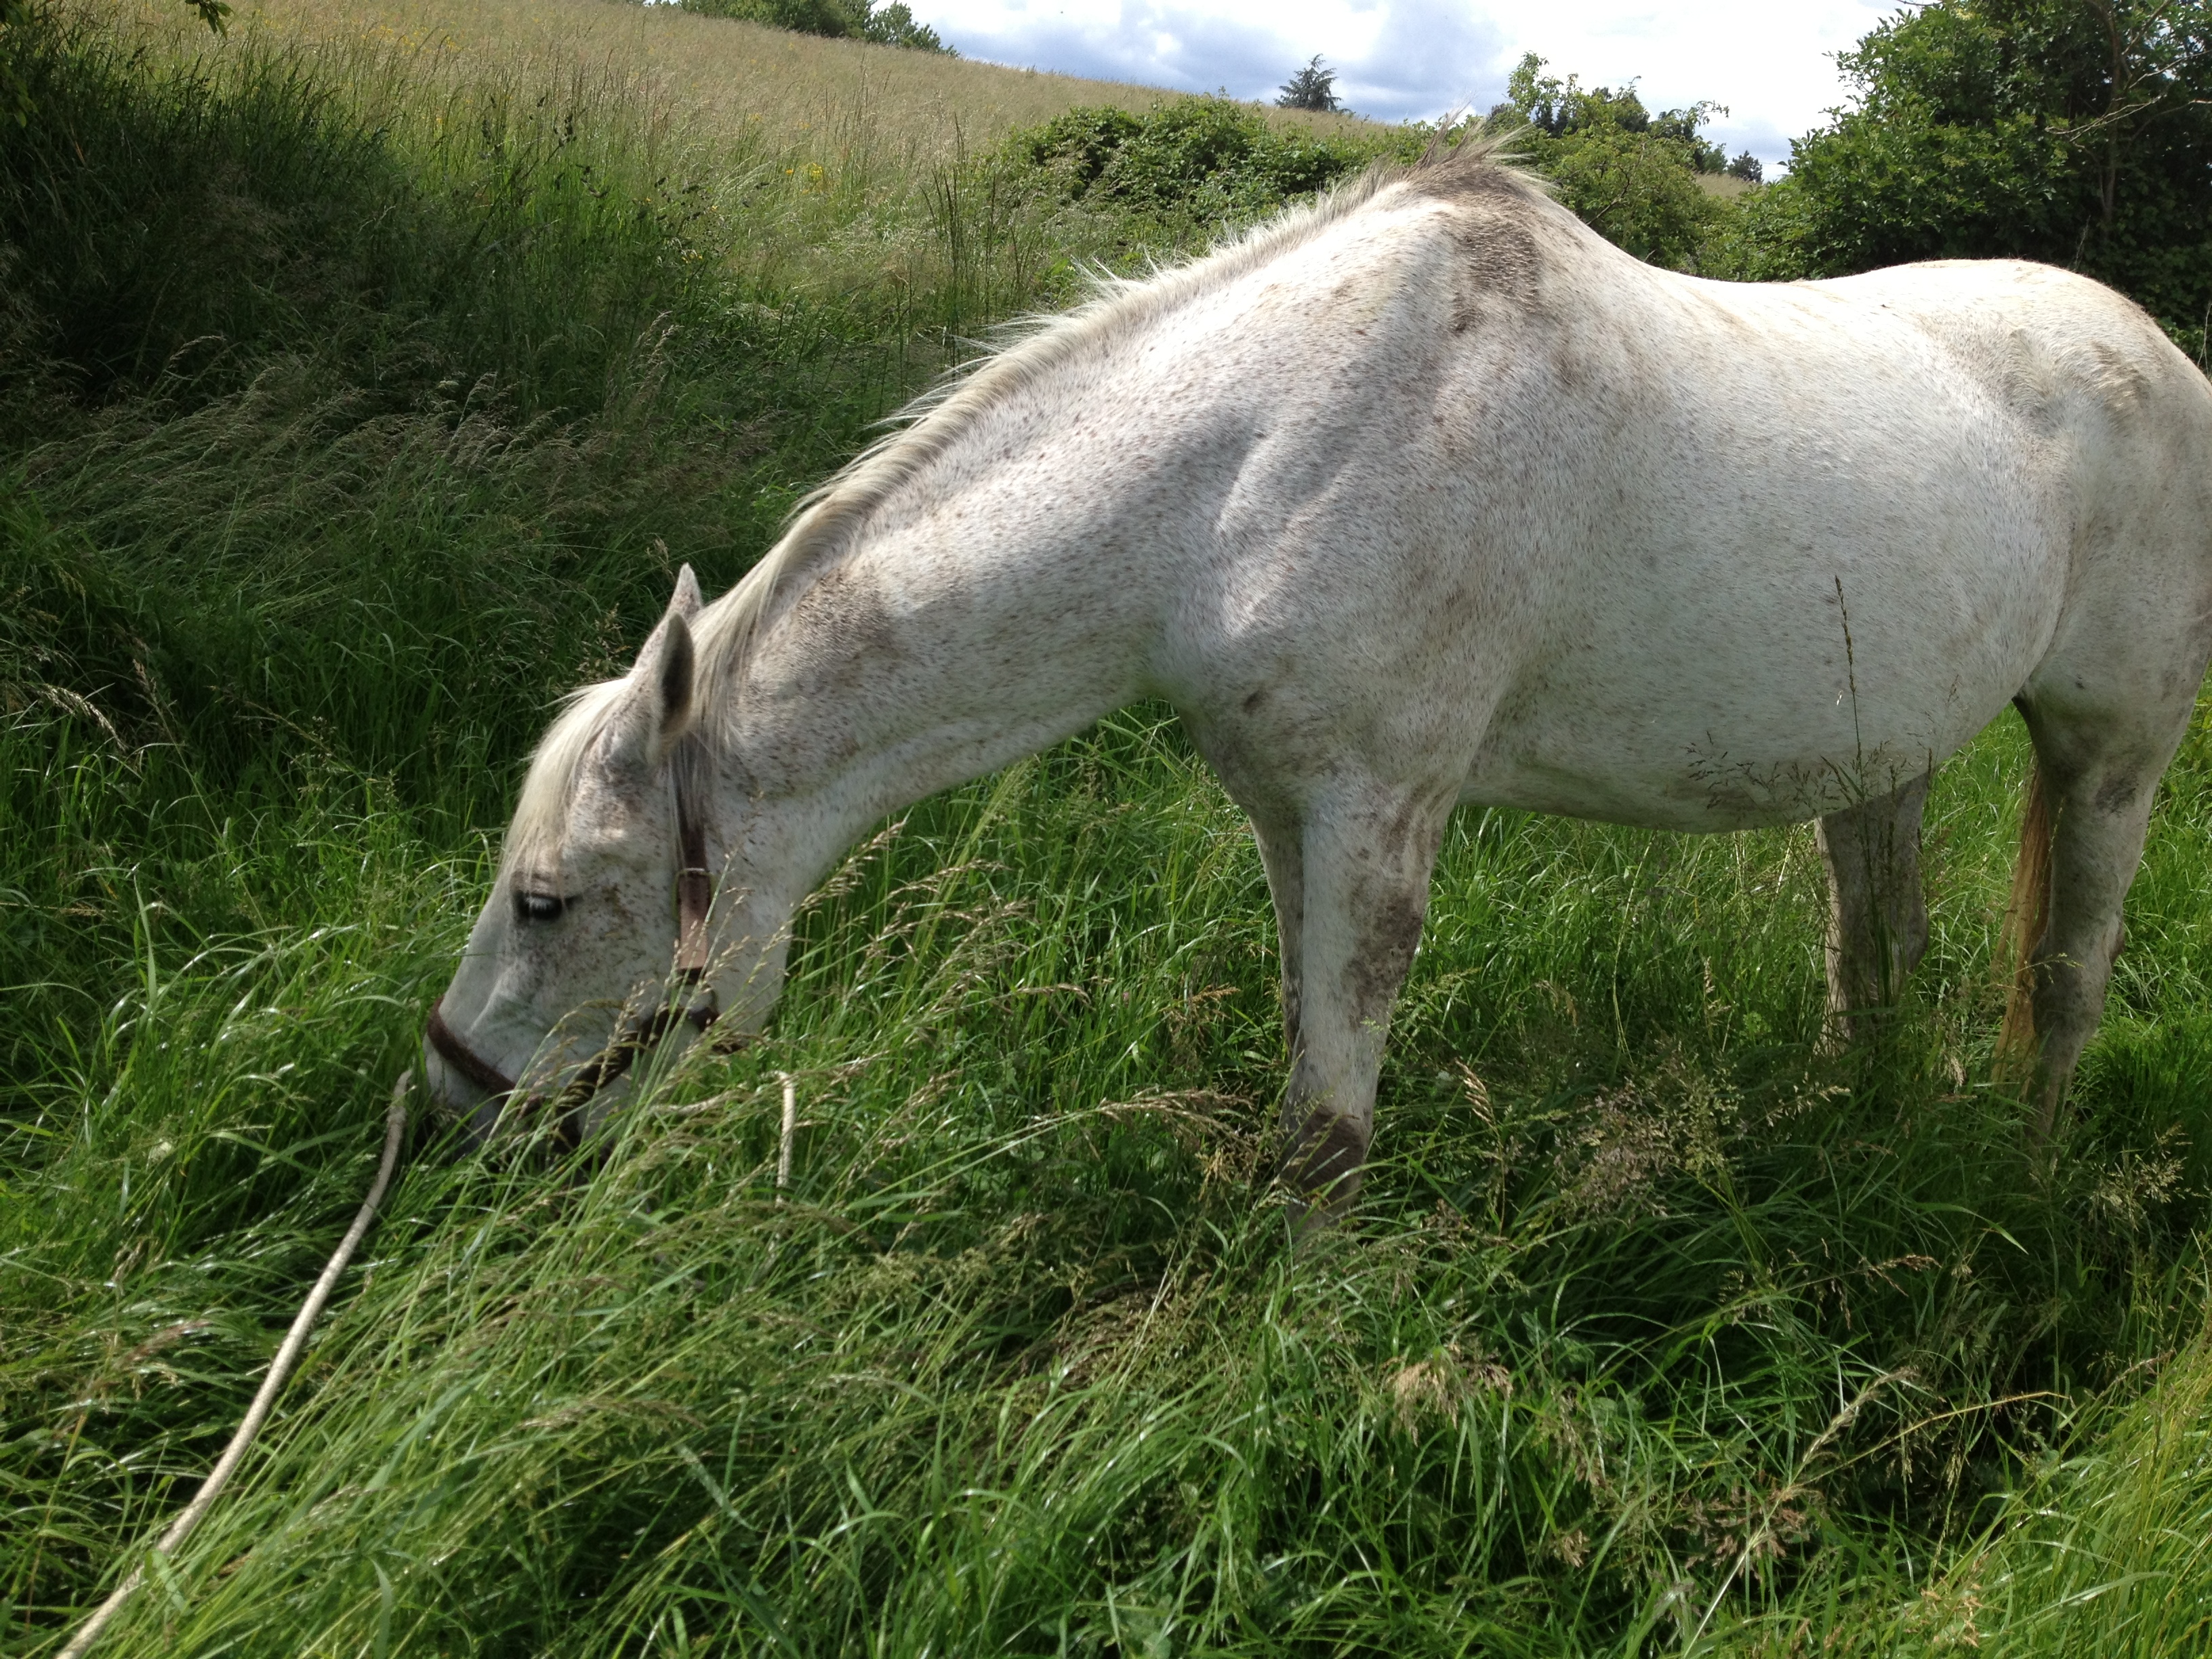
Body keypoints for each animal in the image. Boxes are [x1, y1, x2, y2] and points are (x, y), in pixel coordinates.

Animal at [415, 142, 2212, 1212]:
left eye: (547, 900)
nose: (444, 1119)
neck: (1255, 456)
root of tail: (2156, 346)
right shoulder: (1287, 816)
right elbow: (1300, 1074)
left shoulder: (1379, 815)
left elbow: (1330, 1138)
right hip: (1875, 757)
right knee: (1876, 959)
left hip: (2109, 753)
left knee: (2065, 976)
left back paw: (2026, 1176)